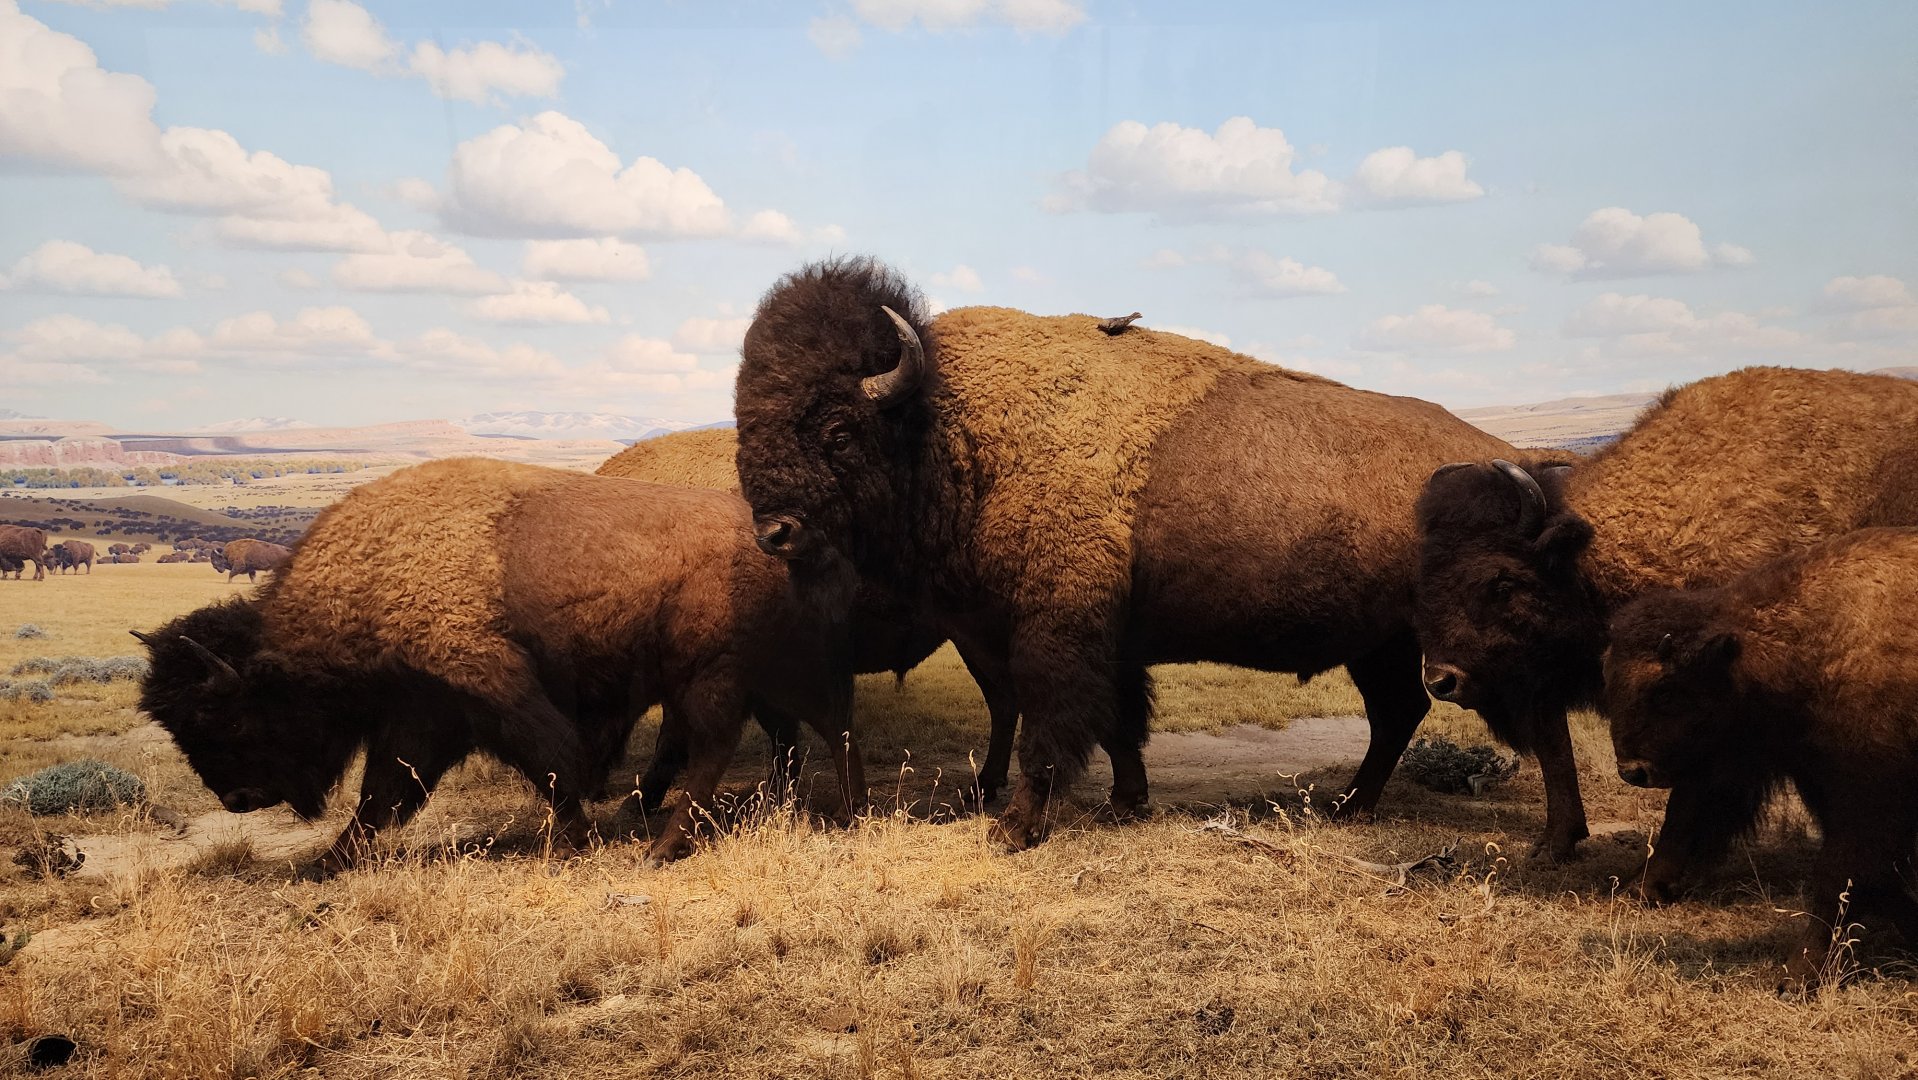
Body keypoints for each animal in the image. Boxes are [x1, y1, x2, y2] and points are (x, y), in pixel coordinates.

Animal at [136, 458, 857, 873]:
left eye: (225, 716)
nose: (236, 798)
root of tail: (779, 537)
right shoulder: (420, 718)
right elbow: (383, 795)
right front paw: (329, 862)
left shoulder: (492, 695)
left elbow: (552, 763)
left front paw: (576, 841)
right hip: (761, 680)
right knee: (815, 729)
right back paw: (836, 812)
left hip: (714, 679)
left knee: (731, 746)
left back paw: (664, 847)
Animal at [731, 258, 1515, 849]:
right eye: (746, 417)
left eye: (838, 430)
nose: (775, 532)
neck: (946, 425)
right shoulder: (1096, 639)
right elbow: (1118, 724)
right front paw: (1127, 802)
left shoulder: (1055, 633)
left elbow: (1051, 729)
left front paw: (1014, 830)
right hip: (1381, 641)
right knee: (1397, 712)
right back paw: (1350, 807)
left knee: (1397, 713)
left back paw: (1350, 806)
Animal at [1605, 527, 1918, 989]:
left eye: (1666, 692)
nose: (1633, 771)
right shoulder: (1815, 782)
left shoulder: (1869, 795)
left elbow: (1839, 874)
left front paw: (1797, 975)